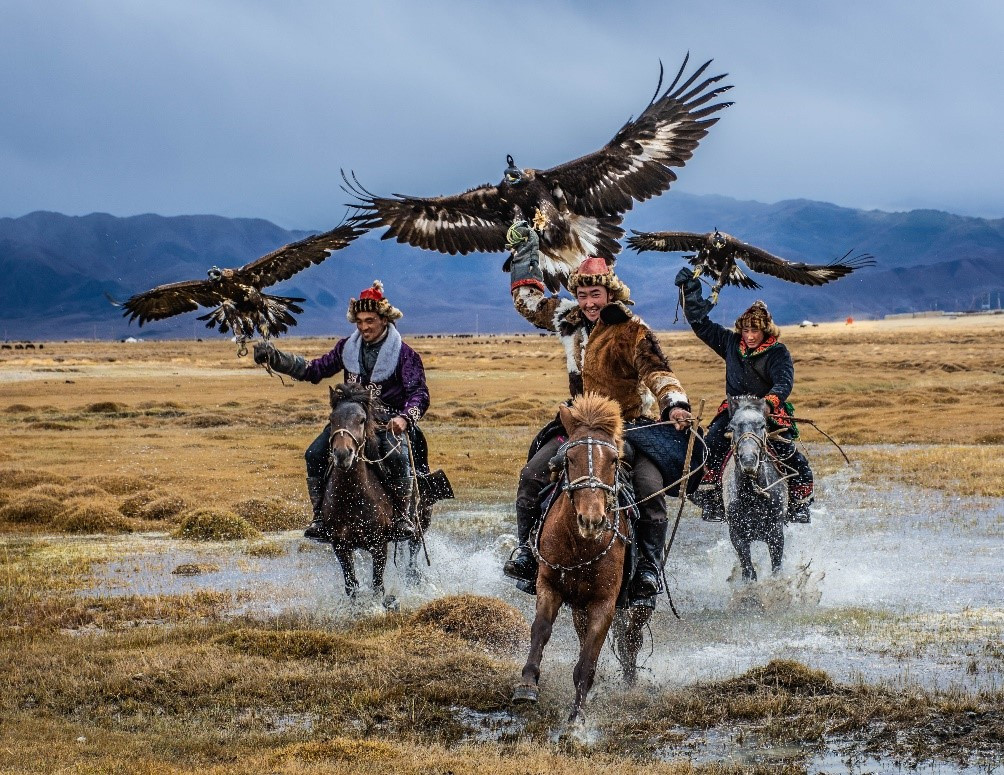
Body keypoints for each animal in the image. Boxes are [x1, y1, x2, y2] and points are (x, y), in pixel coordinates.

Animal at [323, 383, 429, 610]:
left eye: (362, 419)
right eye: (332, 418)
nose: (342, 455)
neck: (352, 497)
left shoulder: (379, 545)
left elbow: (377, 585)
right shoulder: (340, 546)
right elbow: (351, 585)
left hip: (420, 525)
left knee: (413, 557)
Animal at [514, 393, 646, 726]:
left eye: (613, 460)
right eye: (569, 459)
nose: (592, 520)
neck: (581, 545)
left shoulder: (604, 603)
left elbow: (588, 658)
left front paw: (576, 717)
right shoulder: (549, 586)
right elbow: (540, 630)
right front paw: (527, 684)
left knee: (631, 638)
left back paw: (629, 679)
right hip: (577, 604)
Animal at [722, 397, 791, 578]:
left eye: (762, 425)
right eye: (732, 427)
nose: (748, 461)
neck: (751, 497)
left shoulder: (775, 533)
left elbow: (776, 569)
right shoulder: (737, 536)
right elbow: (749, 571)